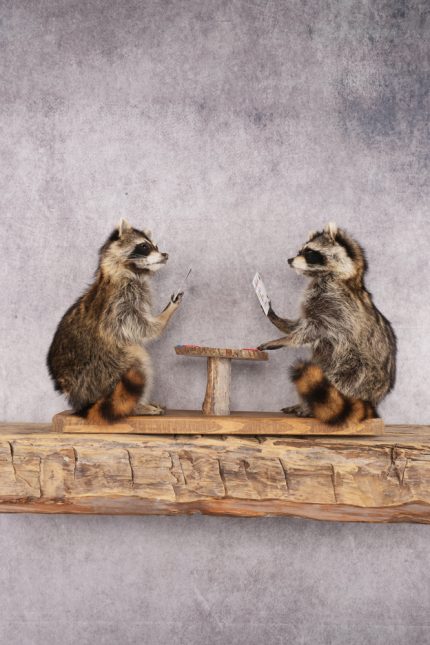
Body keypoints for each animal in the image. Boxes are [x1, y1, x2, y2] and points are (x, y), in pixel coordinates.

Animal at [47, 218, 182, 424]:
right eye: (144, 246)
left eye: (156, 246)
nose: (165, 255)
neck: (121, 271)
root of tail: (84, 401)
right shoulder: (120, 303)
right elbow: (142, 329)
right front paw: (166, 314)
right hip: (108, 367)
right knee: (138, 358)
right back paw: (137, 406)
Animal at [258, 223, 396, 425]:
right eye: (300, 251)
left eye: (309, 252)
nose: (289, 260)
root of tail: (372, 400)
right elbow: (301, 323)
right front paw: (280, 321)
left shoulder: (338, 307)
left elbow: (314, 330)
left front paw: (287, 339)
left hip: (359, 372)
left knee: (337, 381)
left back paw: (313, 407)